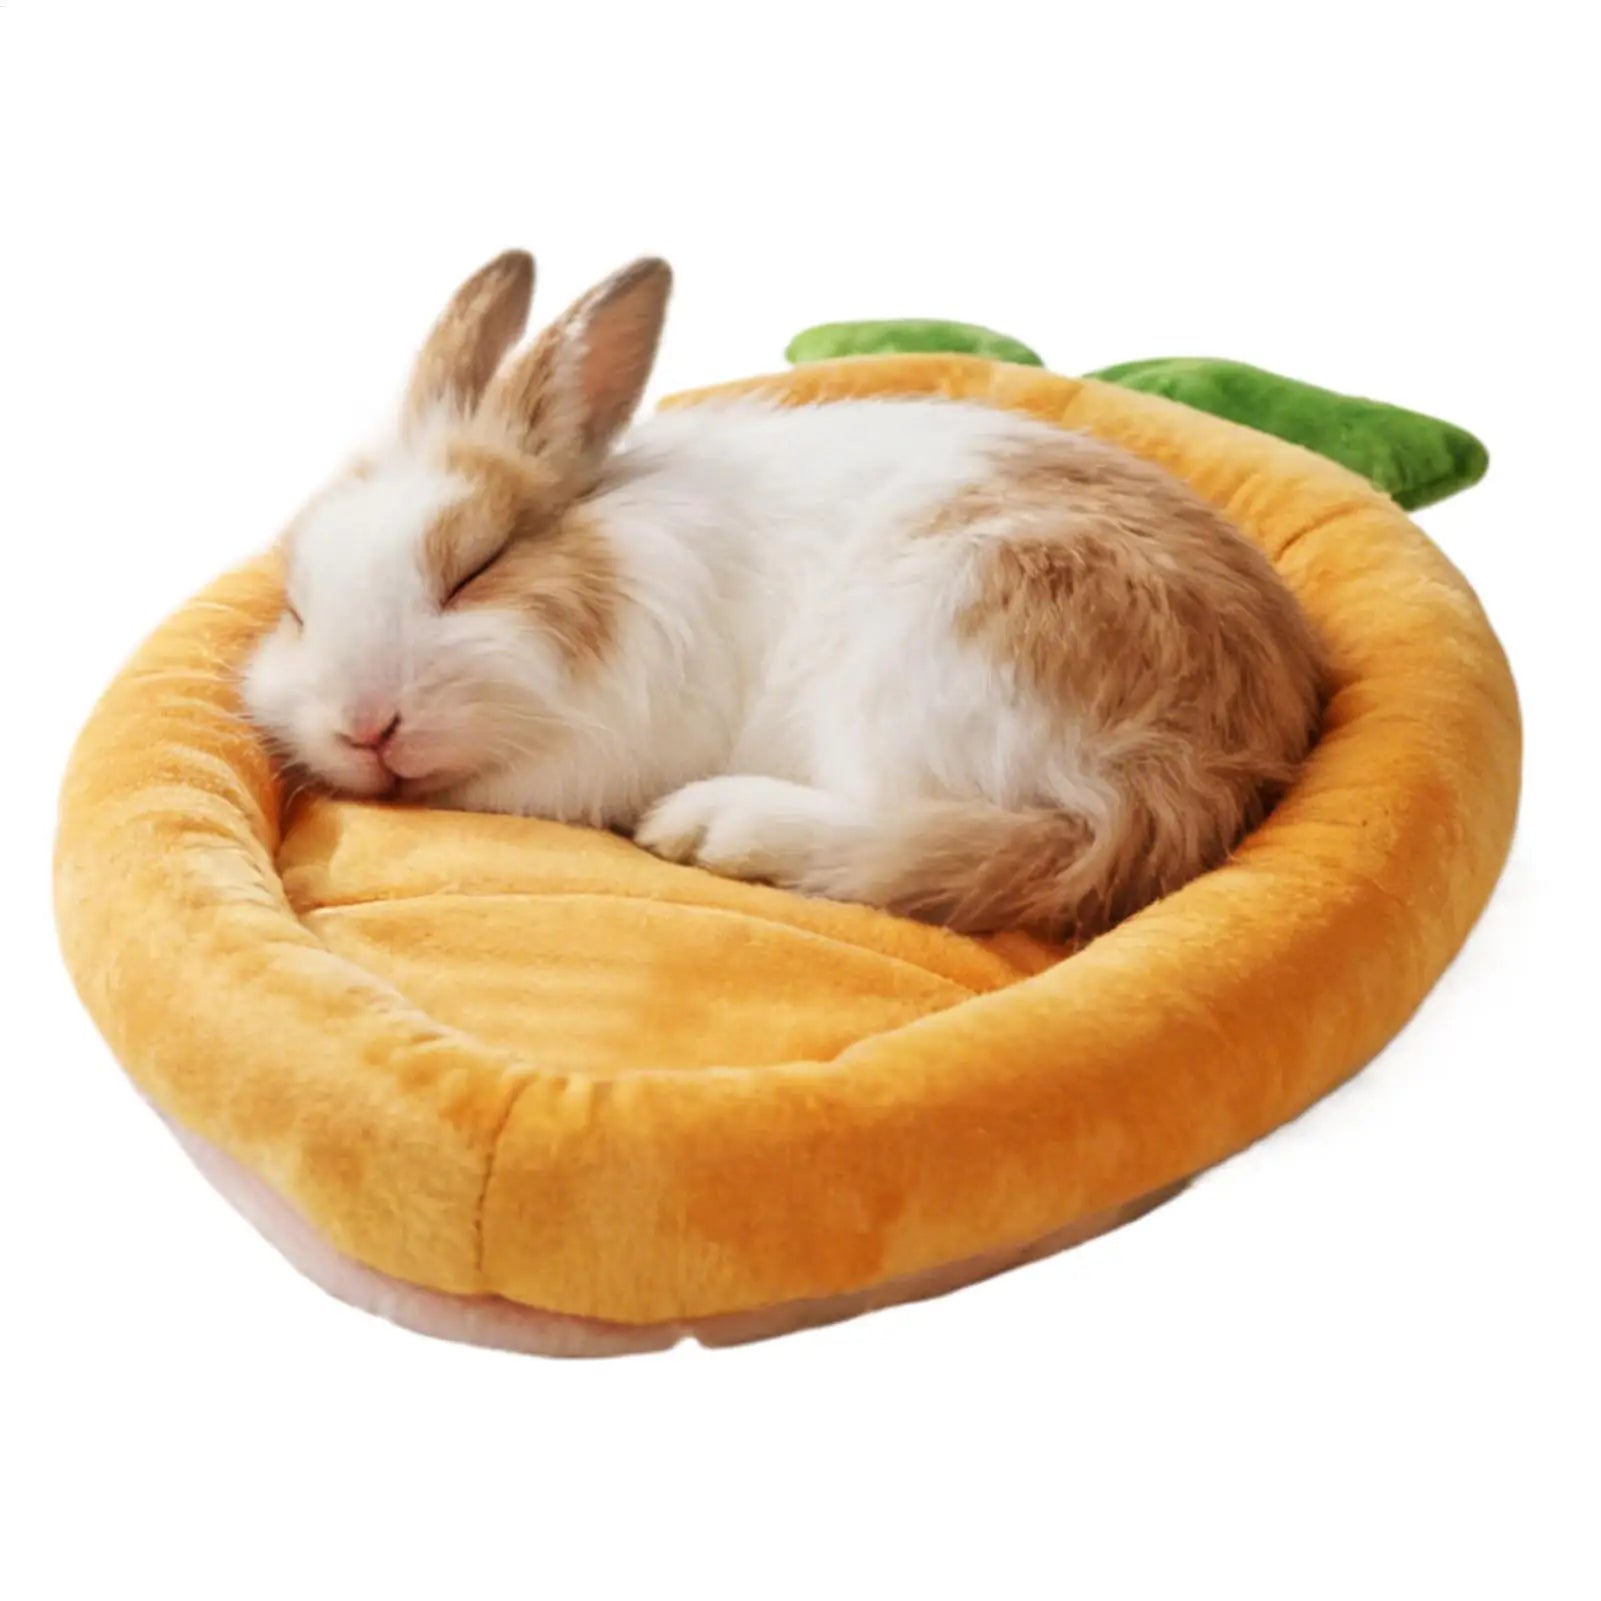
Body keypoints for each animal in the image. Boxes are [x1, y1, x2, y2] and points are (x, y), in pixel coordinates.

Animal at [242, 249, 1326, 940]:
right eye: (296, 608)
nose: (364, 725)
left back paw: (709, 826)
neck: (611, 554)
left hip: (934, 660)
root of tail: (1199, 772)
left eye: (477, 566)